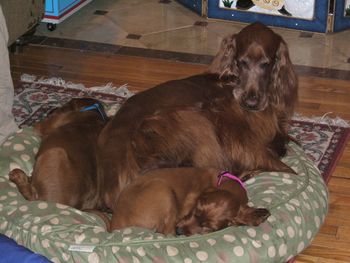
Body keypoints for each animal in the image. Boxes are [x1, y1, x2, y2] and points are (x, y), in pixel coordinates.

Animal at [97, 22, 296, 212]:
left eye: (266, 64)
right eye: (241, 62)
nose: (251, 102)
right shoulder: (240, 138)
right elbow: (281, 164)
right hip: (192, 120)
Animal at [110, 168, 270, 236]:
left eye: (208, 227)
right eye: (195, 211)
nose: (179, 231)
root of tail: (113, 225)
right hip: (162, 188)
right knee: (165, 231)